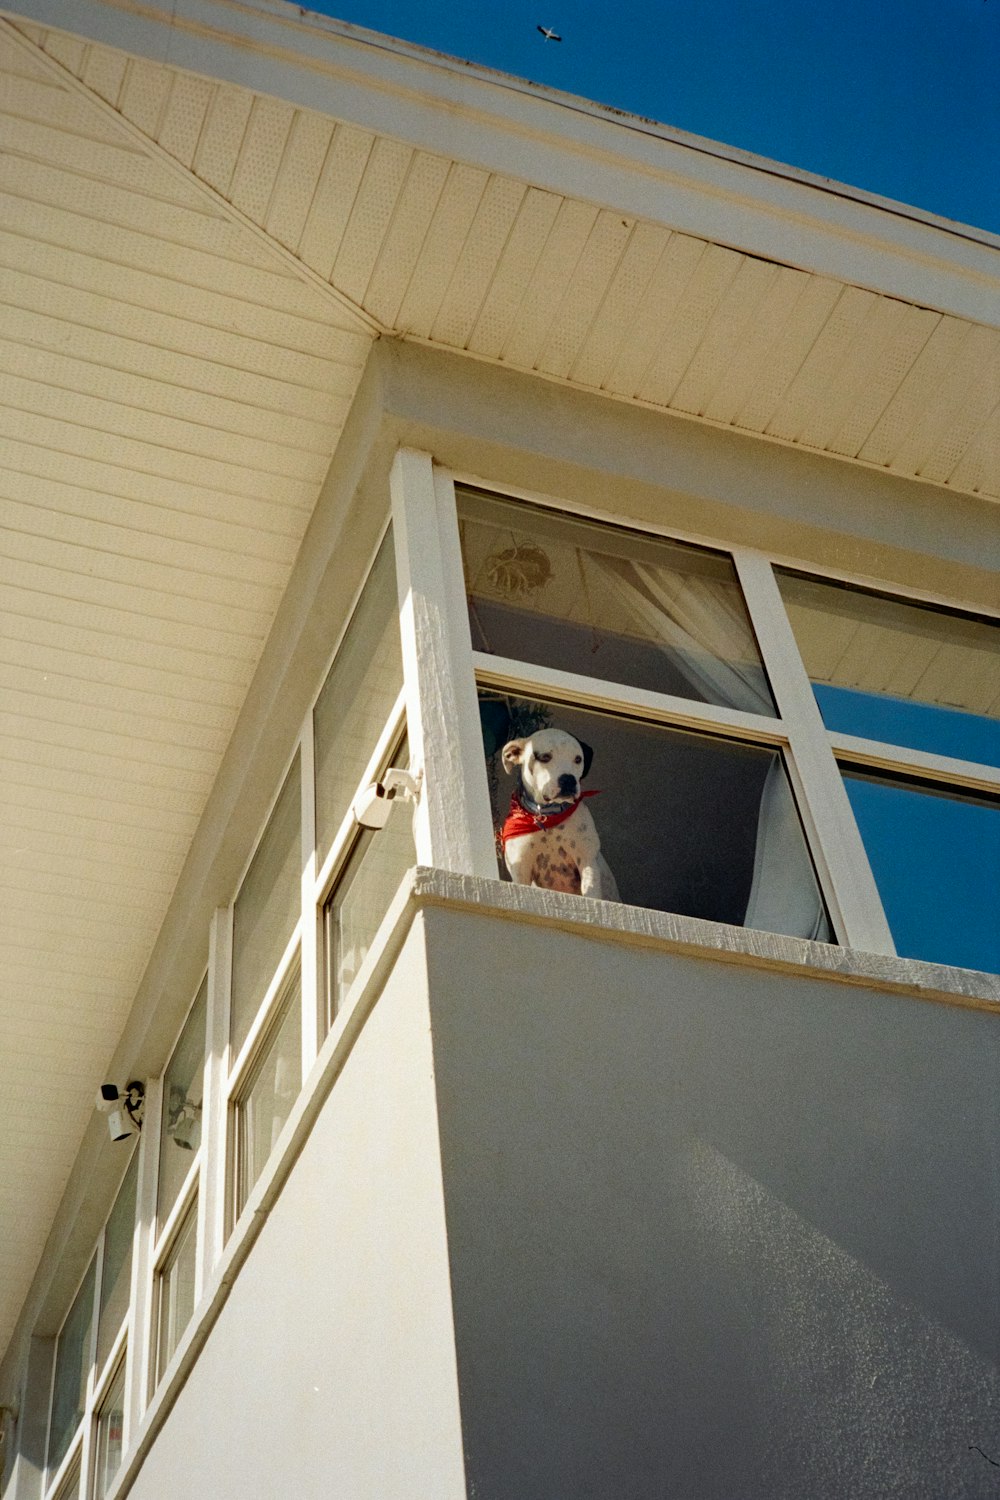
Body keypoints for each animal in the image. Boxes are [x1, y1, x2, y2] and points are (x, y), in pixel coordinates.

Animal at [500, 726, 617, 900]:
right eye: (545, 757)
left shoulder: (586, 859)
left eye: (578, 759)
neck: (548, 816)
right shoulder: (520, 866)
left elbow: (591, 891)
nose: (568, 779)